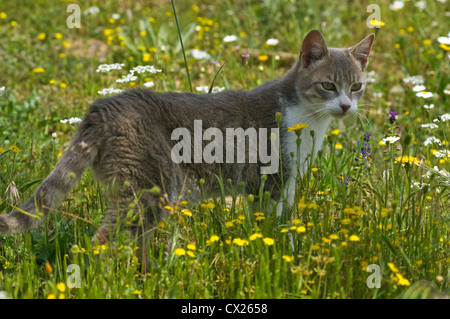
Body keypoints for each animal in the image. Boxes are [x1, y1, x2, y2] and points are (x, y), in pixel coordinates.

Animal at [0, 29, 372, 260]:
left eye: (356, 87)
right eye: (328, 85)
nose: (345, 106)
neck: (308, 121)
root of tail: (104, 107)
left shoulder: (273, 186)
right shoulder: (276, 180)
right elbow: (282, 224)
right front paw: (286, 254)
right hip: (153, 186)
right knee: (104, 239)